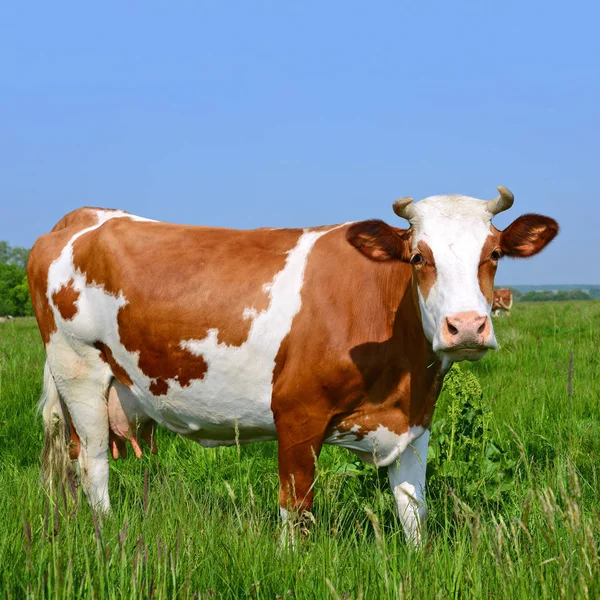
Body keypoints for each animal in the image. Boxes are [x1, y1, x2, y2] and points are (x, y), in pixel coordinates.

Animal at [28, 186, 556, 544]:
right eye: (417, 256)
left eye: (494, 253)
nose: (466, 326)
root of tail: (84, 216)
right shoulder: (297, 416)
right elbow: (295, 512)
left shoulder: (413, 422)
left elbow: (412, 510)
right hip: (79, 370)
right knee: (93, 462)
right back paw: (106, 533)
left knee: (73, 459)